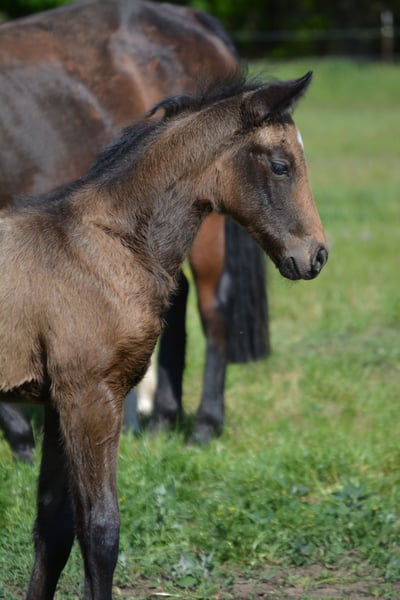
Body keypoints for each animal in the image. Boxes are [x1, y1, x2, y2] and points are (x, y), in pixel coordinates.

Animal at [0, 69, 328, 599]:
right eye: (281, 165)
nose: (316, 255)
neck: (107, 245)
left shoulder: (56, 402)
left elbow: (52, 527)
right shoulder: (91, 398)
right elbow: (100, 530)